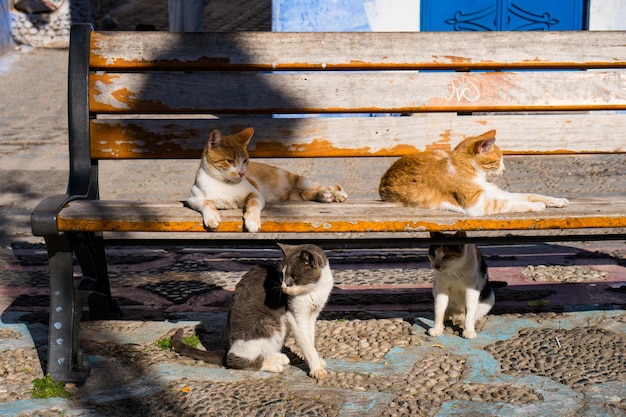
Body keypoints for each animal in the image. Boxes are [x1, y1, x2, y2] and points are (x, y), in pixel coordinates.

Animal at [171, 242, 332, 378]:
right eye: (282, 275)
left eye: (293, 276)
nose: (283, 287)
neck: (314, 290)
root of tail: (227, 347)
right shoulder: (295, 315)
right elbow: (306, 343)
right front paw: (316, 369)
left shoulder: (312, 315)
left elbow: (310, 339)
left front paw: (316, 361)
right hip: (266, 324)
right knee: (232, 360)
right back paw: (273, 365)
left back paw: (277, 357)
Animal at [188, 127, 348, 231]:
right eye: (229, 161)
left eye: (245, 161)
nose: (241, 173)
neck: (225, 184)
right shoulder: (192, 199)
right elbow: (207, 203)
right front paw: (212, 217)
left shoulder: (255, 194)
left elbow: (252, 205)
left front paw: (252, 222)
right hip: (291, 196)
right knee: (305, 193)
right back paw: (325, 196)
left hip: (298, 180)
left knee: (320, 186)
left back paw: (336, 194)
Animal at [378, 129, 568, 214]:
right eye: (498, 161)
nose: (505, 169)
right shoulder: (477, 205)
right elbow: (512, 203)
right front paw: (537, 206)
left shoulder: (496, 193)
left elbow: (530, 195)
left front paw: (557, 200)